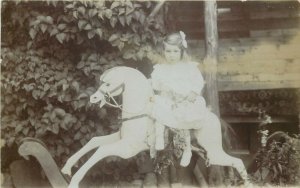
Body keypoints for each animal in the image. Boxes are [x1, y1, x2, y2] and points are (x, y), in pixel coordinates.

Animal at [61, 66, 251, 187]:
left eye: (108, 83)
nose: (93, 98)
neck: (139, 112)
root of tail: (217, 120)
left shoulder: (127, 148)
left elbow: (101, 150)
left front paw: (74, 181)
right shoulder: (120, 138)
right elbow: (94, 141)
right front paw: (66, 168)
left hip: (213, 152)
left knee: (239, 162)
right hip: (205, 154)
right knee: (233, 163)